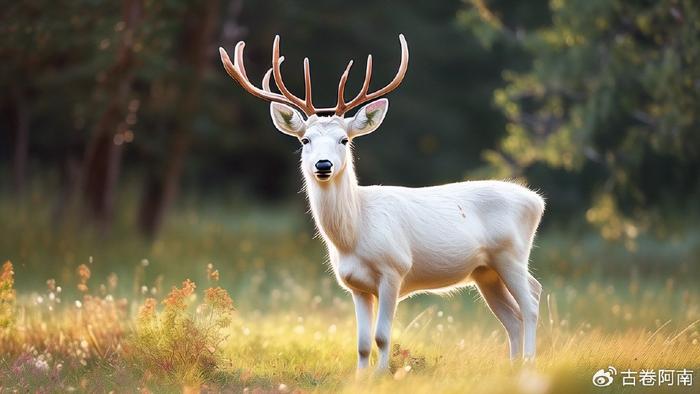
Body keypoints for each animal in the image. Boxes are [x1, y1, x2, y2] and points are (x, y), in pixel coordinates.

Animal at [219, 33, 548, 372]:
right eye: (305, 140)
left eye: (344, 140)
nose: (323, 165)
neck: (354, 234)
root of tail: (537, 200)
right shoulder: (355, 286)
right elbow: (363, 343)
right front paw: (361, 377)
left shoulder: (395, 269)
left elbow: (382, 336)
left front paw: (382, 376)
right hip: (485, 271)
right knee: (512, 316)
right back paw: (512, 366)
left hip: (510, 253)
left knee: (532, 301)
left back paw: (529, 362)